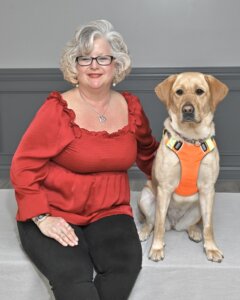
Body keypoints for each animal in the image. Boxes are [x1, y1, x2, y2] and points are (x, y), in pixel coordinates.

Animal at [138, 72, 228, 262]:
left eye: (200, 91)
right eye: (179, 92)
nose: (187, 110)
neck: (191, 140)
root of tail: (174, 224)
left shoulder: (208, 189)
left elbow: (208, 226)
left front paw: (211, 248)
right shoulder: (164, 189)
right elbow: (158, 225)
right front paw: (156, 248)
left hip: (199, 206)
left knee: (193, 224)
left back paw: (194, 231)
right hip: (146, 196)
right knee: (152, 222)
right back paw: (144, 231)